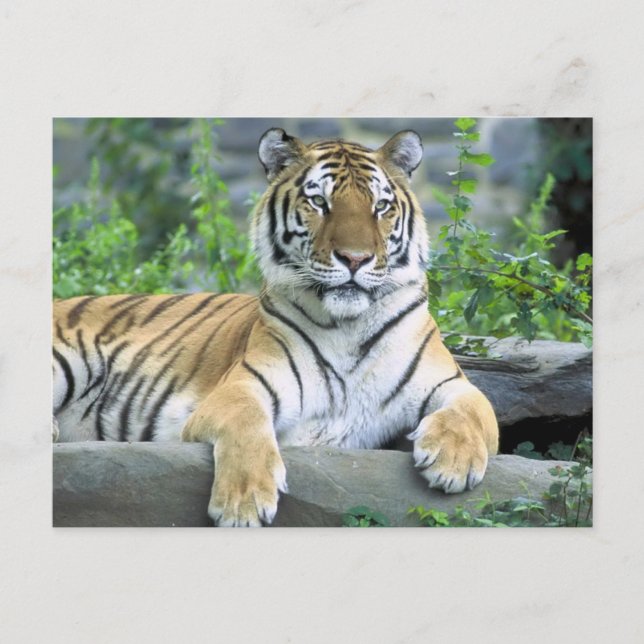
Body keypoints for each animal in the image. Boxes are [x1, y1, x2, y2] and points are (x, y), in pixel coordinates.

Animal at [53, 127, 499, 527]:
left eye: (380, 207)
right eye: (319, 202)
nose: (355, 259)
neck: (348, 327)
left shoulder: (449, 382)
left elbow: (476, 409)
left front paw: (452, 463)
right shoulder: (243, 387)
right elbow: (248, 425)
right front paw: (243, 505)